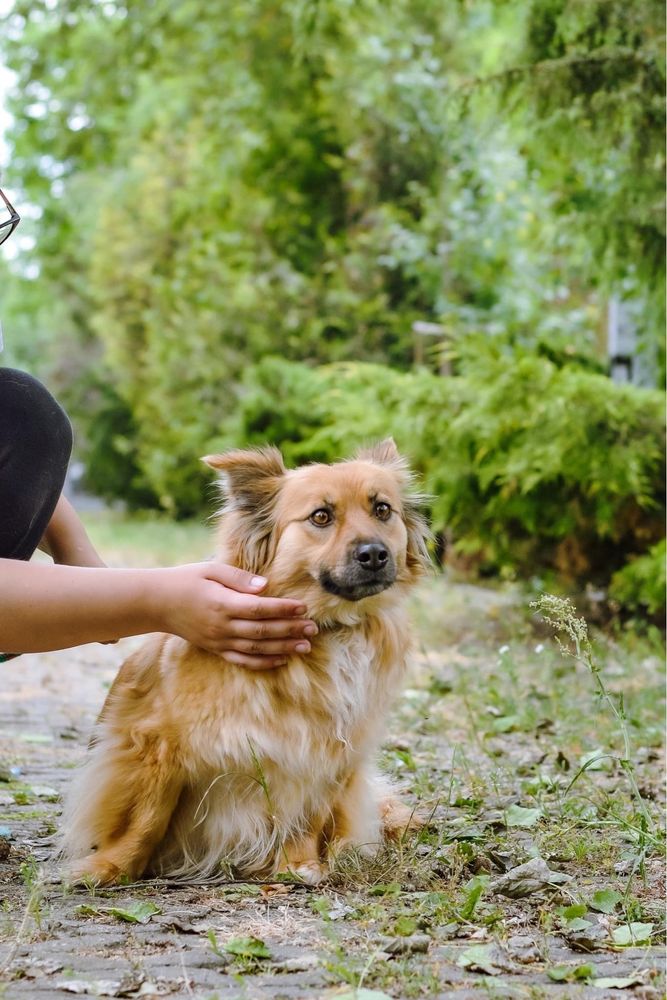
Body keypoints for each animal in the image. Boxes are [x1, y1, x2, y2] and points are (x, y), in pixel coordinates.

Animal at [60, 438, 430, 884]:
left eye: (382, 510)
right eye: (321, 516)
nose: (374, 553)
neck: (331, 630)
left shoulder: (326, 756)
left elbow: (307, 816)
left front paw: (299, 865)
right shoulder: (155, 744)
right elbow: (146, 819)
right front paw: (110, 867)